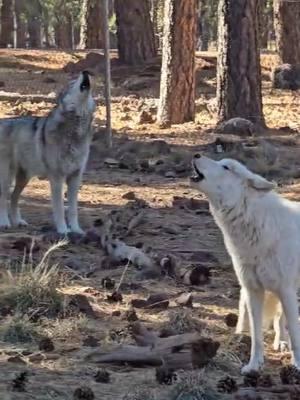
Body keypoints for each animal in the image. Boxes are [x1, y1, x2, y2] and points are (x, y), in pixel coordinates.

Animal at [0, 71, 95, 234]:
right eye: (72, 83)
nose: (85, 72)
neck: (75, 132)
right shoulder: (57, 178)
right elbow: (60, 208)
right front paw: (63, 230)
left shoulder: (75, 177)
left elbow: (73, 209)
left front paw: (76, 230)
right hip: (6, 178)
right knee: (3, 198)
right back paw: (5, 223)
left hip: (24, 178)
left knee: (13, 198)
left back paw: (18, 221)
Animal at [191, 155, 298, 374]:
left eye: (226, 167)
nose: (196, 155)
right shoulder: (253, 290)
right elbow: (256, 335)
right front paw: (254, 365)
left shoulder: (286, 289)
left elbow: (296, 334)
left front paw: (298, 365)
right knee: (277, 319)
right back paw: (280, 342)